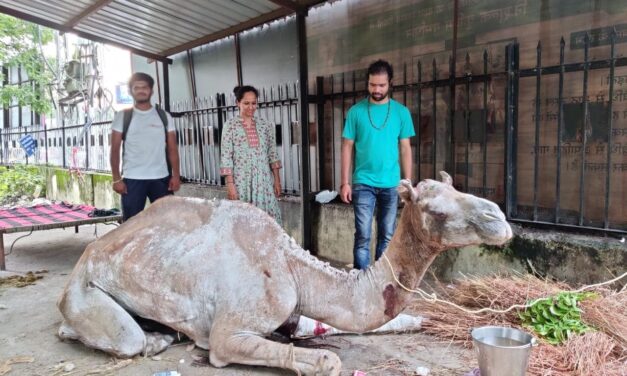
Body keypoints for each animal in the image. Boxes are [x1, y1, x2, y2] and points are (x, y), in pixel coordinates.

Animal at [56, 172, 512, 374]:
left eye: (459, 188)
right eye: (437, 210)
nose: (500, 218)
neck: (291, 266)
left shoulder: (295, 312)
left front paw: (429, 320)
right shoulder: (229, 332)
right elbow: (326, 359)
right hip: (85, 289)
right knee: (123, 338)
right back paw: (152, 339)